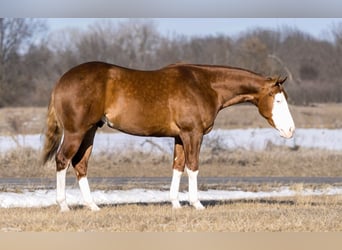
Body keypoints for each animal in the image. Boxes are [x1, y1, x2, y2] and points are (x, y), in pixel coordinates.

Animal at [42, 62, 294, 211]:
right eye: (278, 99)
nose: (291, 130)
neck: (204, 85)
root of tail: (61, 81)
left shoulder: (180, 137)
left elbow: (178, 166)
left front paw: (176, 204)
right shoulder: (193, 134)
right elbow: (192, 166)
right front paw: (196, 203)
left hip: (90, 131)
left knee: (80, 164)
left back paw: (93, 206)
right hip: (76, 132)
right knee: (62, 160)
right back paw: (63, 205)